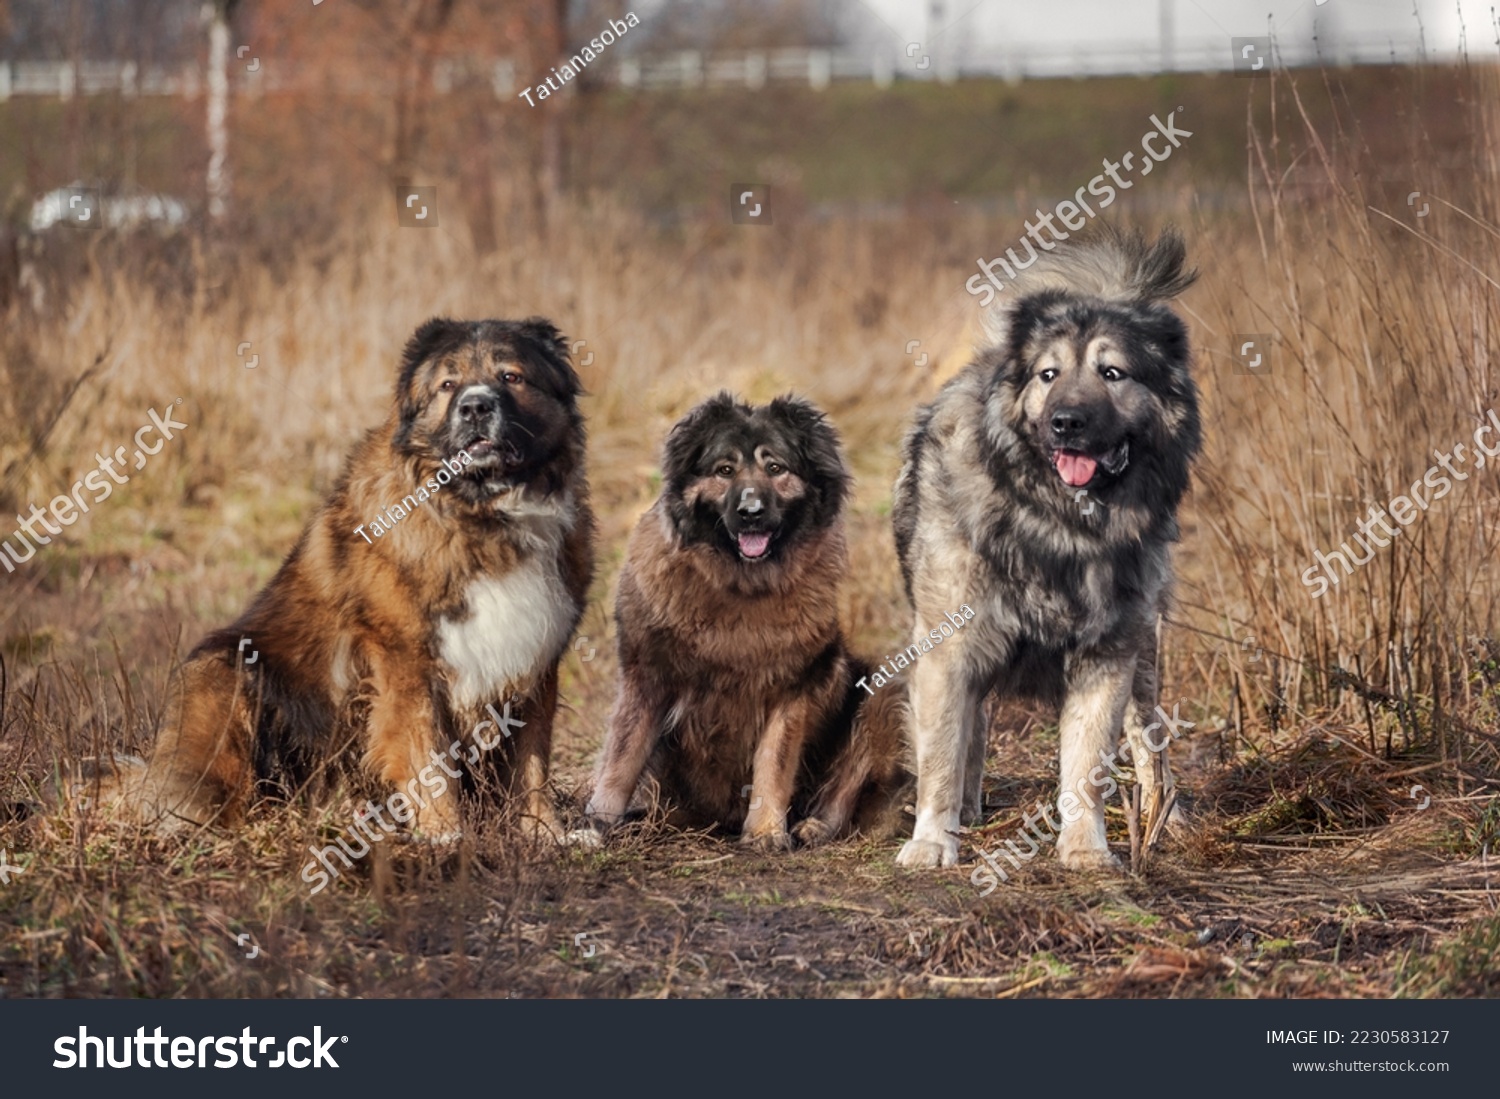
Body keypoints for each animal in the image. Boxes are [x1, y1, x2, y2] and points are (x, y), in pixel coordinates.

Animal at [98, 317, 591, 839]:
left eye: (511, 377)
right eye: (448, 385)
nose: (475, 406)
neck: (480, 513)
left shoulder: (533, 662)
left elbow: (532, 764)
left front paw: (548, 833)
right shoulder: (406, 664)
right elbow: (429, 756)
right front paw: (446, 835)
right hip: (224, 670)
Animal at [582, 395, 900, 851]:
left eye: (776, 468)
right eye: (725, 470)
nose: (751, 513)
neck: (741, 582)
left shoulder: (792, 688)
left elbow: (774, 762)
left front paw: (766, 831)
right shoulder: (646, 678)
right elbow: (621, 759)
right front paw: (596, 824)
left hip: (881, 696)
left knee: (842, 791)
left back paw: (813, 826)